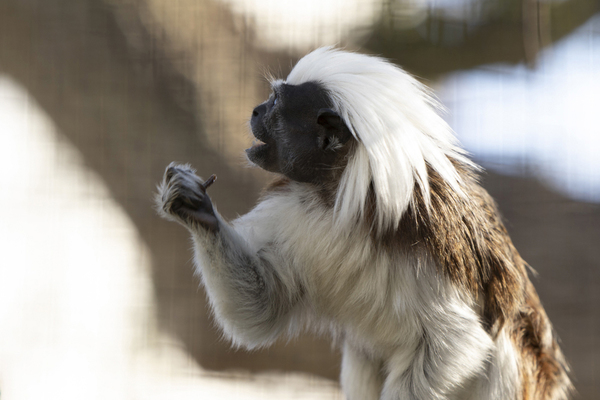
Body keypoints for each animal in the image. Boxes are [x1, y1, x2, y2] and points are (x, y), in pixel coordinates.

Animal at [157, 47, 576, 400]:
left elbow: (457, 342)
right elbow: (260, 308)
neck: (338, 195)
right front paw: (197, 208)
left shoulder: (429, 238)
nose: (256, 111)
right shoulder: (292, 212)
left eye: (275, 104)